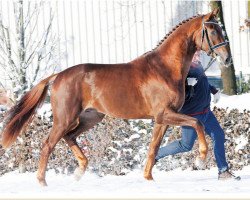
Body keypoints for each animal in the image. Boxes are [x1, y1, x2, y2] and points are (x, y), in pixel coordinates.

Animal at [0, 8, 230, 186]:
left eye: (220, 29)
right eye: (212, 30)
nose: (227, 58)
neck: (164, 69)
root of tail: (58, 76)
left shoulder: (162, 119)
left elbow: (154, 147)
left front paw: (148, 178)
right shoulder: (164, 114)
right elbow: (198, 122)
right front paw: (201, 159)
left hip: (91, 117)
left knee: (70, 137)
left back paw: (80, 169)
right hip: (65, 118)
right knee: (48, 144)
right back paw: (42, 182)